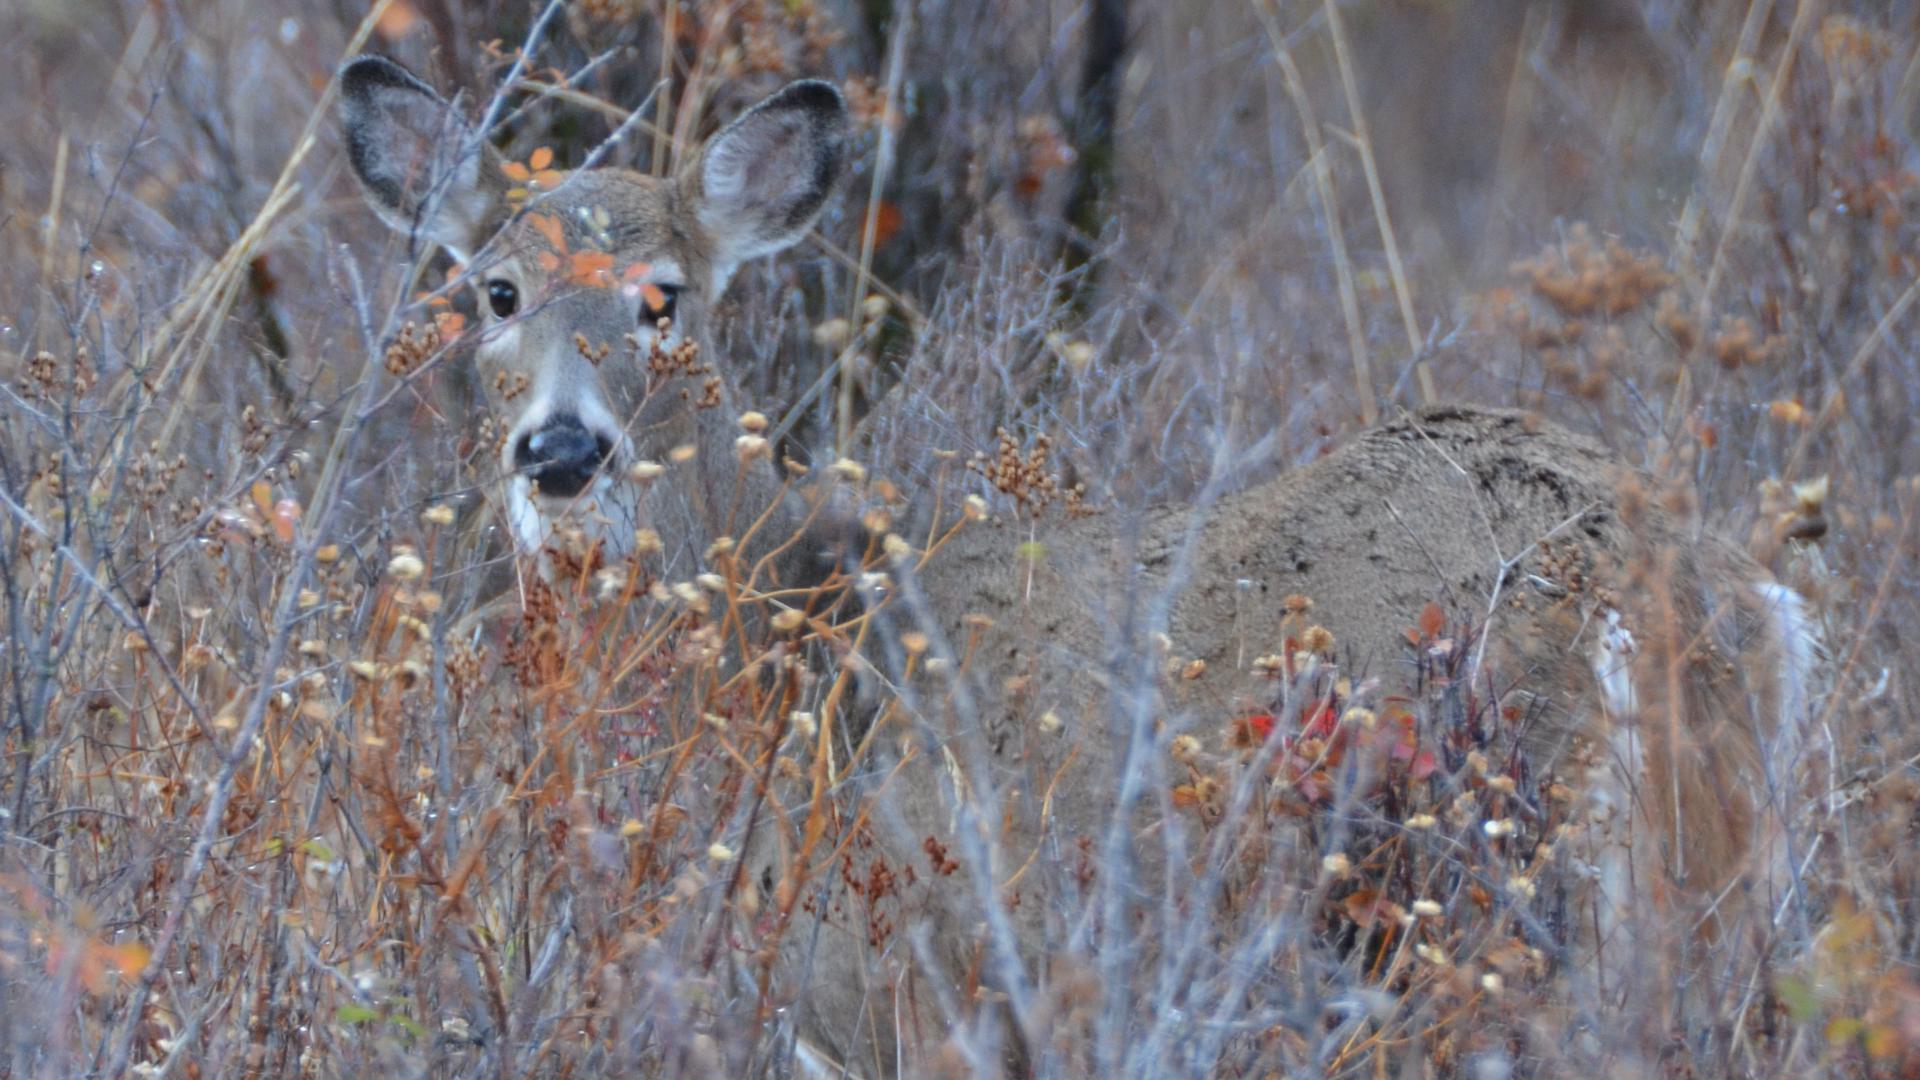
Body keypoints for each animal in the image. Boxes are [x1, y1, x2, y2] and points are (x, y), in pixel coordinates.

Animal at [337, 58, 1820, 1076]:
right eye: (494, 292)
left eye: (665, 297)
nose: (561, 449)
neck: (789, 653)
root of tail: (1671, 585)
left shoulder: (905, 990)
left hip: (1481, 889)